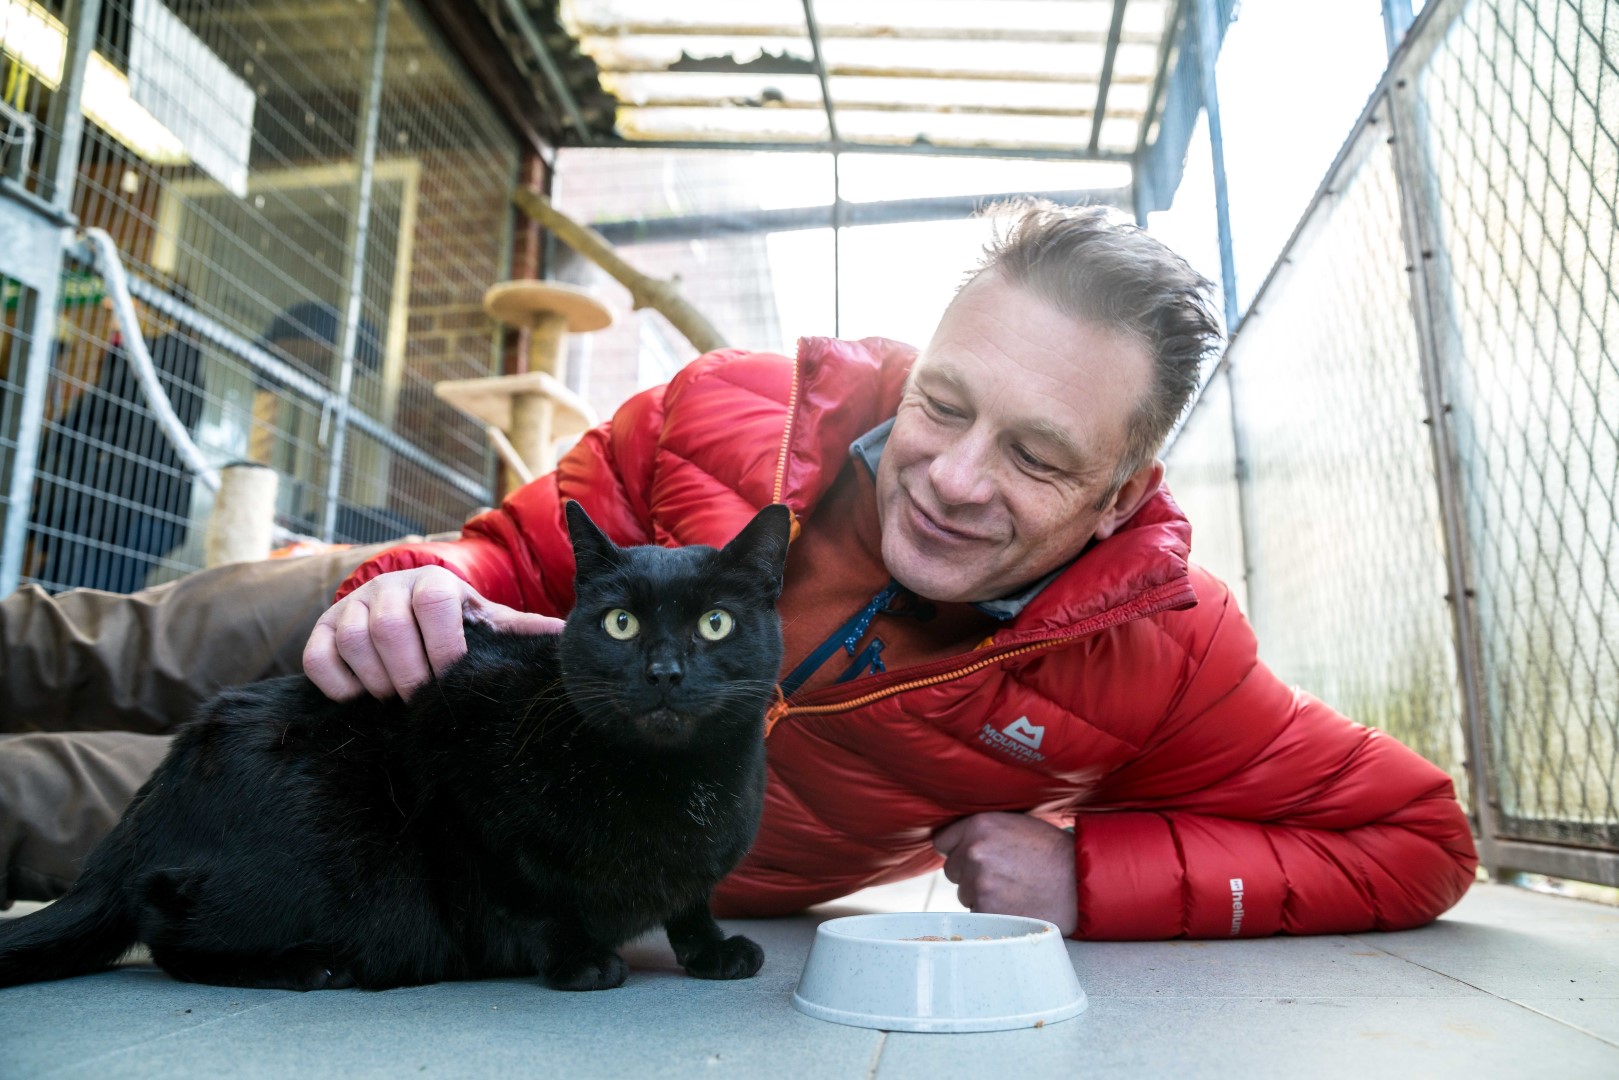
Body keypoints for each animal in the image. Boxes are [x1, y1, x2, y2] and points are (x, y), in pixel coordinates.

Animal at [0, 501, 790, 990]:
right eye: (620, 624)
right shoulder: (467, 785)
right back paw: (305, 967)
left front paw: (710, 948)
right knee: (167, 927)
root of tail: (152, 802)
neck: (676, 780)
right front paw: (577, 959)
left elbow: (692, 900)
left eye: (715, 623)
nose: (664, 672)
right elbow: (534, 893)